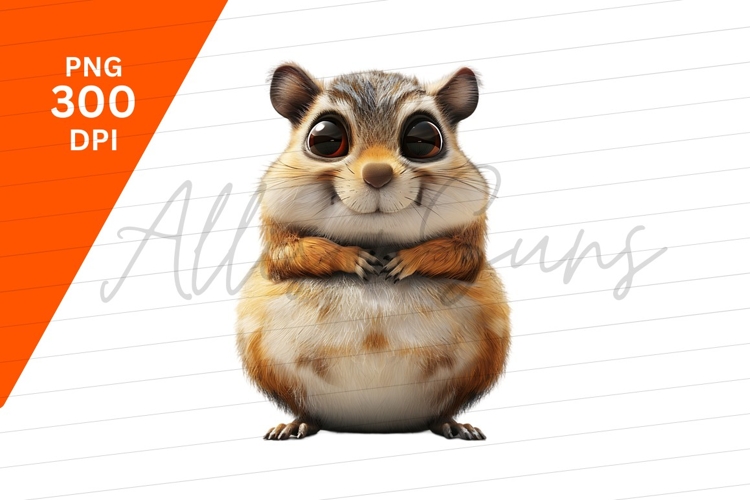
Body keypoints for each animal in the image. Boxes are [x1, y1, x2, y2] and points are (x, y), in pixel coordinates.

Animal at [236, 63, 510, 440]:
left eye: (424, 138)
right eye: (324, 138)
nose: (377, 174)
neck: (378, 237)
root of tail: (373, 423)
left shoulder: (471, 236)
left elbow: (462, 258)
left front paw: (407, 260)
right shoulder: (277, 237)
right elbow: (289, 256)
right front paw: (351, 257)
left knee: (444, 410)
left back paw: (454, 424)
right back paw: (295, 424)